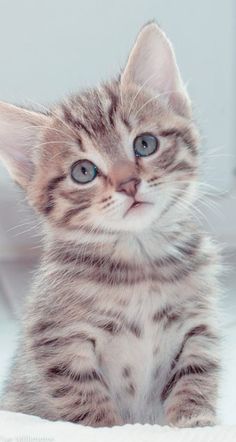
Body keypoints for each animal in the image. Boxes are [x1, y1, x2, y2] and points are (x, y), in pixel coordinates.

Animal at [0, 22, 221, 426]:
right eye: (83, 171)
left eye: (145, 144)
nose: (129, 183)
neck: (141, 263)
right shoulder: (59, 339)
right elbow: (84, 399)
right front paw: (105, 426)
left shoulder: (199, 326)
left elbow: (195, 376)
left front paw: (194, 423)